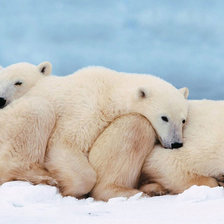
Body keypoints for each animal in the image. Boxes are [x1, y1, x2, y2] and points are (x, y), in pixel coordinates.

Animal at [0, 66, 189, 198]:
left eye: (183, 120)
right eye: (164, 117)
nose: (176, 143)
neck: (110, 90)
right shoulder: (86, 107)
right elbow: (65, 142)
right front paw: (69, 188)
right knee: (38, 109)